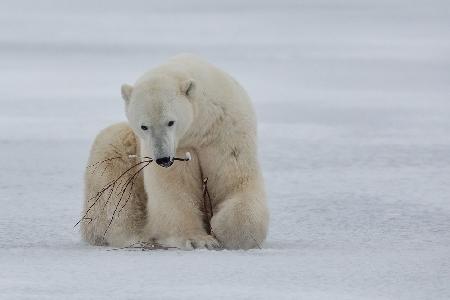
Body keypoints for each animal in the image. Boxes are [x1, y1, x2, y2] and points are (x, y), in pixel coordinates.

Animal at [81, 53, 268, 248]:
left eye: (170, 122)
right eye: (144, 126)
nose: (163, 159)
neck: (199, 128)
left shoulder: (224, 134)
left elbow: (235, 182)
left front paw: (223, 228)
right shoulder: (177, 148)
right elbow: (174, 189)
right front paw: (199, 240)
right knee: (115, 193)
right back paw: (138, 238)